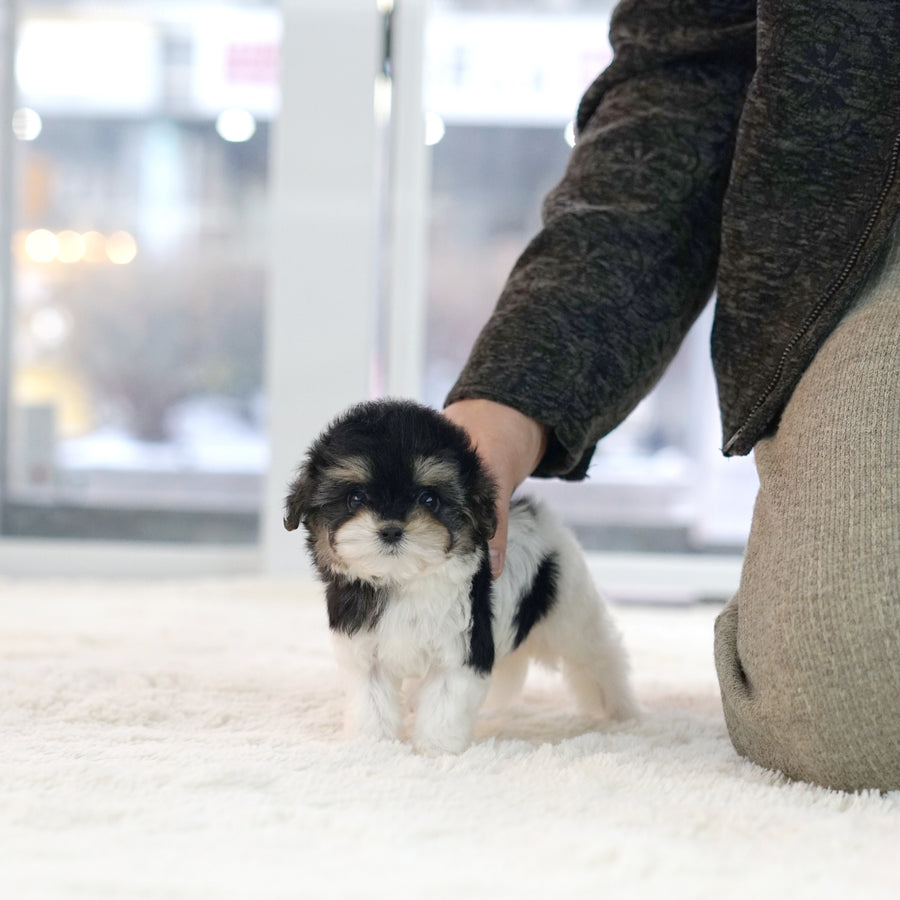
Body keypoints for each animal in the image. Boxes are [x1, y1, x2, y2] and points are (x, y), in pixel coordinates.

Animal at [284, 400, 636, 752]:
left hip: (570, 610)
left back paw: (619, 709)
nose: (391, 529)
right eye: (355, 498)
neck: (405, 580)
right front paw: (371, 744)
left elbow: (444, 704)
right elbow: (372, 702)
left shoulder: (461, 648)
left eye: (429, 499)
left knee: (598, 655)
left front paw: (436, 750)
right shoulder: (365, 652)